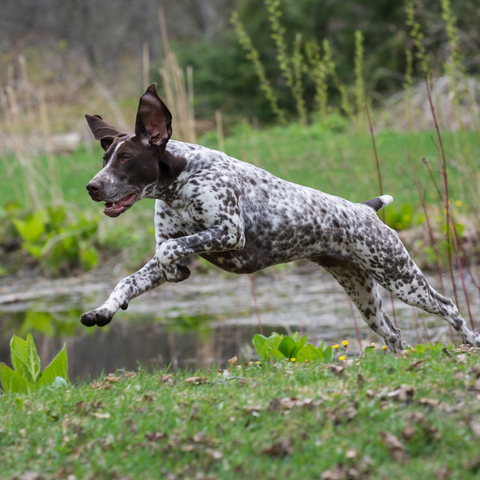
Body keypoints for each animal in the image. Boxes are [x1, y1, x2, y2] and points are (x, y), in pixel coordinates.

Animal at [80, 84, 478, 350]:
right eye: (105, 159)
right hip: (364, 295)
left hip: (401, 278)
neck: (180, 181)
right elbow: (127, 281)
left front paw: (176, 272)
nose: (92, 186)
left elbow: (169, 254)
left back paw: (471, 341)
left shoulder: (228, 232)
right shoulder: (169, 247)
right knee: (394, 335)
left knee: (450, 307)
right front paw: (105, 310)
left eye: (126, 159)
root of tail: (365, 208)